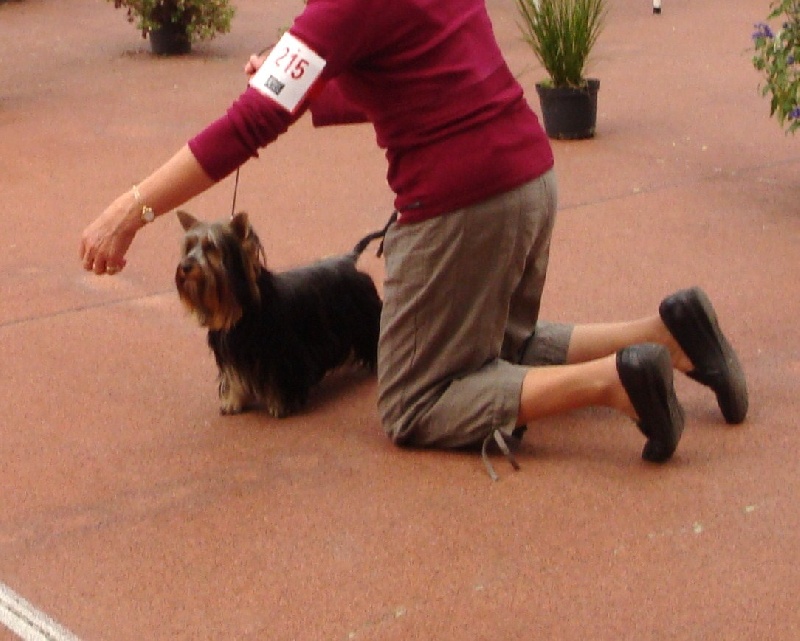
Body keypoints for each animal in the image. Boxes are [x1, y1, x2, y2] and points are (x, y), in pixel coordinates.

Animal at [175, 210, 383, 418]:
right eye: (189, 247)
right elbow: (234, 377)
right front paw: (233, 402)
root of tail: (350, 259)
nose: (185, 267)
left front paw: (280, 405)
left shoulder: (279, 355)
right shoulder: (232, 354)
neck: (239, 311)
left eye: (210, 247)